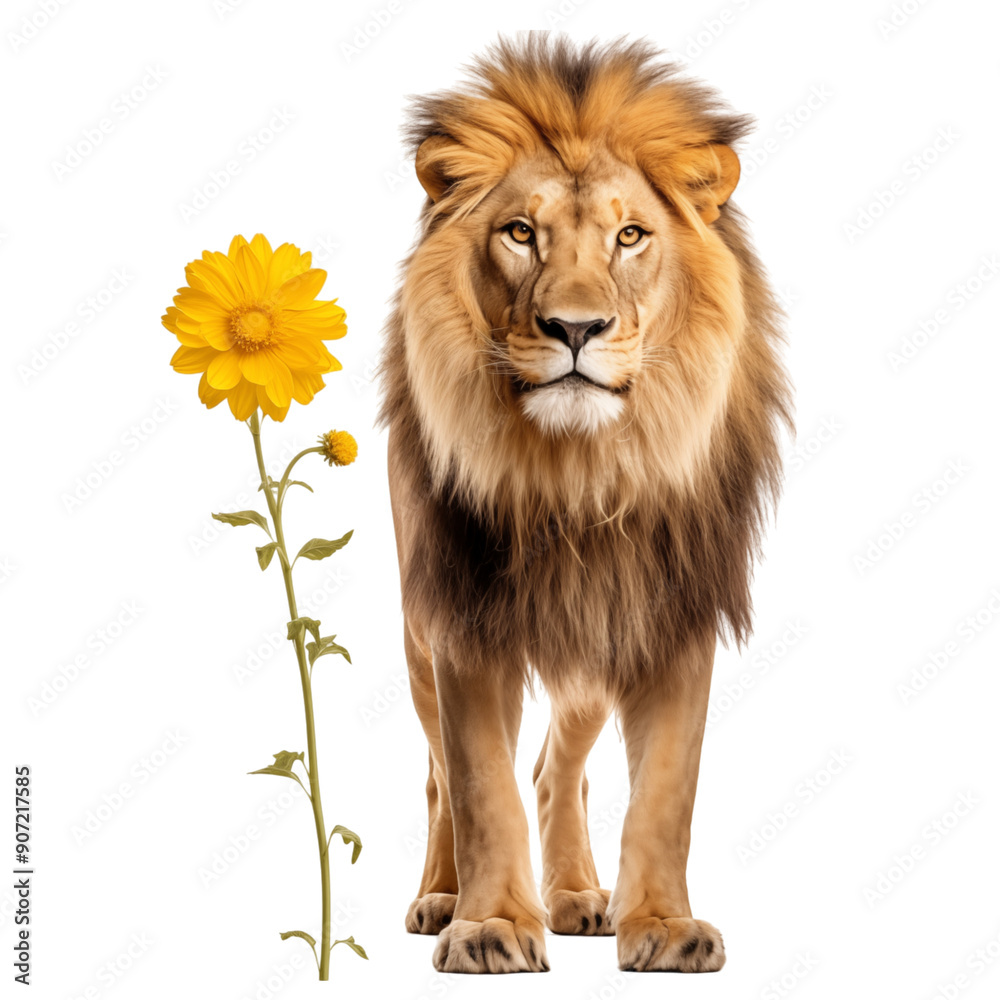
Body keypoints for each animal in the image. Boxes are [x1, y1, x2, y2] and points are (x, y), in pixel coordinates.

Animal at [376, 35, 792, 974]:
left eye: (629, 235)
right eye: (520, 233)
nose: (575, 329)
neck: (580, 473)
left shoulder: (667, 617)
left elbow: (666, 794)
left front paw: (664, 927)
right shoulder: (463, 621)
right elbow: (479, 784)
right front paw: (490, 926)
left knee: (554, 770)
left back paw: (575, 897)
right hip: (418, 632)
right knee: (438, 775)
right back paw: (441, 897)